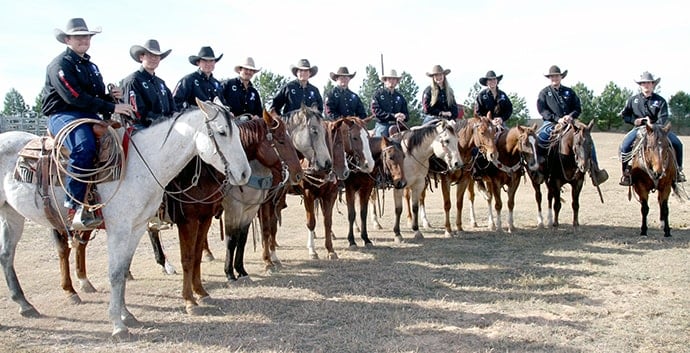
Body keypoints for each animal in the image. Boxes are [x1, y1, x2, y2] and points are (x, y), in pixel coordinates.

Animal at [0, 98, 251, 336]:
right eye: (221, 132)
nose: (244, 173)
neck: (141, 165)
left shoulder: (138, 227)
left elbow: (123, 269)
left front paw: (127, 315)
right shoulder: (122, 228)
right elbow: (116, 272)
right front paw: (118, 325)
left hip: (12, 215)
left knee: (7, 255)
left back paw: (26, 304)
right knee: (63, 249)